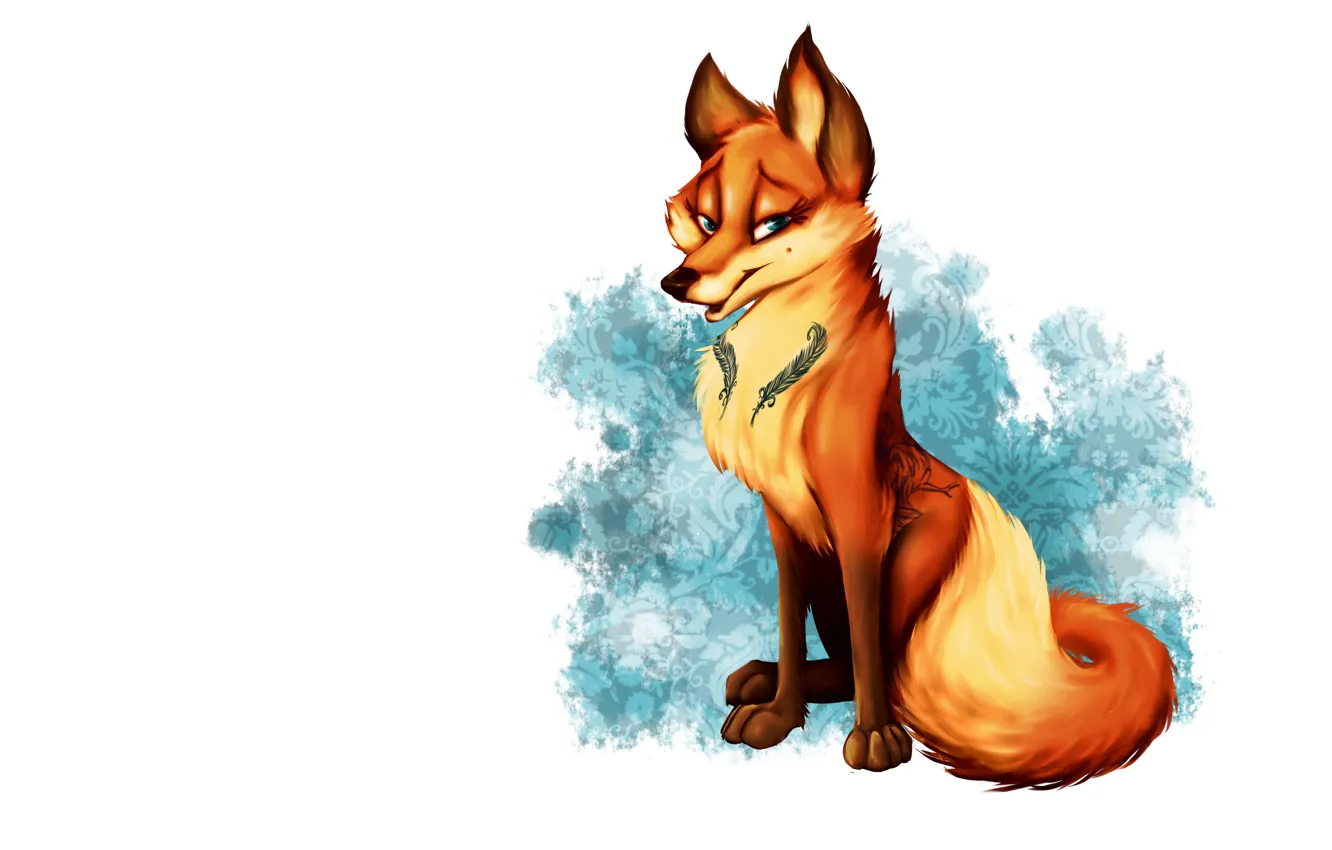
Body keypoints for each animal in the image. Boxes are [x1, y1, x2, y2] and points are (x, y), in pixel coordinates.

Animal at [658, 27, 1177, 790]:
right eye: (706, 218)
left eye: (772, 222)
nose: (678, 280)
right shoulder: (784, 528)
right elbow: (786, 627)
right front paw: (780, 715)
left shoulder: (858, 521)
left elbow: (870, 659)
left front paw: (875, 739)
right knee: (838, 657)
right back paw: (764, 679)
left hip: (903, 572)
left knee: (877, 660)